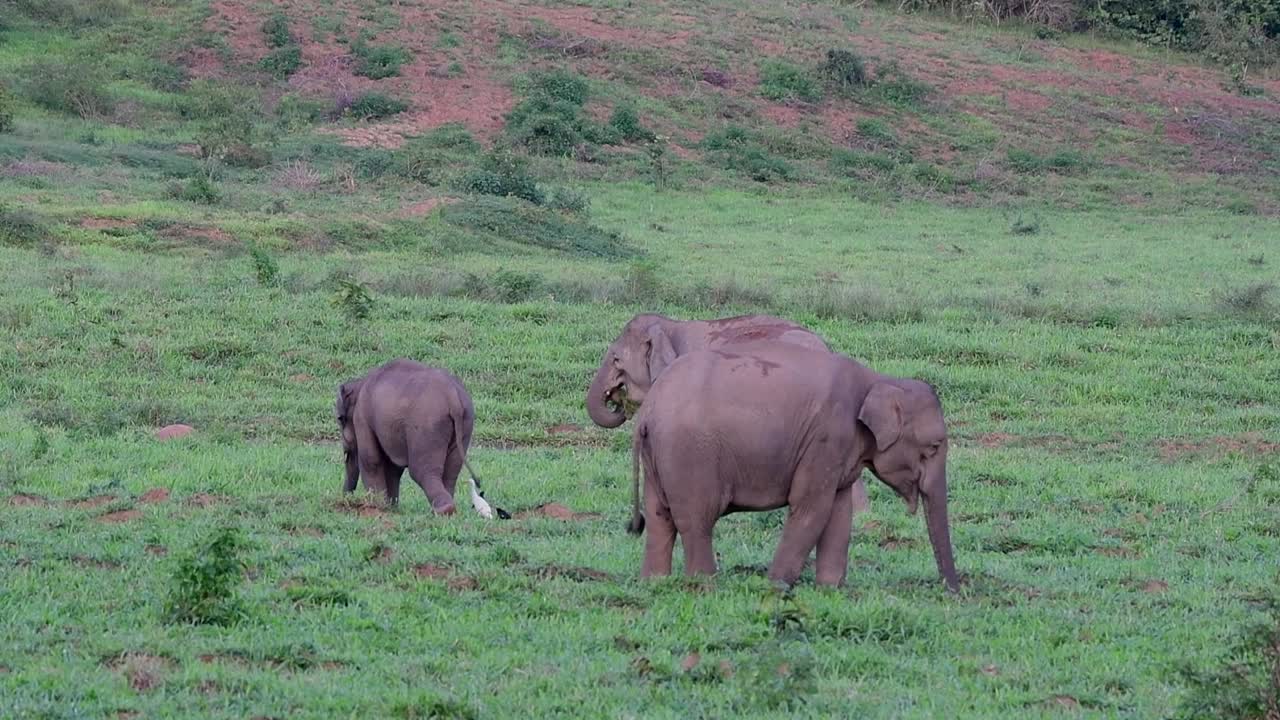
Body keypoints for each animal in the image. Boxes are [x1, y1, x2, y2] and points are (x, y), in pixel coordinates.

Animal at [336, 358, 508, 519]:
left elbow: (371, 460)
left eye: (340, 419)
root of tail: (453, 397)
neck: (360, 383)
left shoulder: (362, 418)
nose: (346, 501)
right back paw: (445, 509)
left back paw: (444, 510)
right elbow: (393, 467)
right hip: (465, 423)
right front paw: (391, 507)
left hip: (427, 427)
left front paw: (378, 507)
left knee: (421, 470)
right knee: (451, 470)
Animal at [626, 341, 959, 592]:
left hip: (659, 459)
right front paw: (775, 587)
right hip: (689, 454)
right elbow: (812, 508)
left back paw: (653, 584)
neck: (879, 379)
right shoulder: (827, 438)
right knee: (697, 520)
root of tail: (647, 410)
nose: (953, 590)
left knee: (659, 519)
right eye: (934, 447)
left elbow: (840, 513)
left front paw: (830, 590)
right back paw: (705, 586)